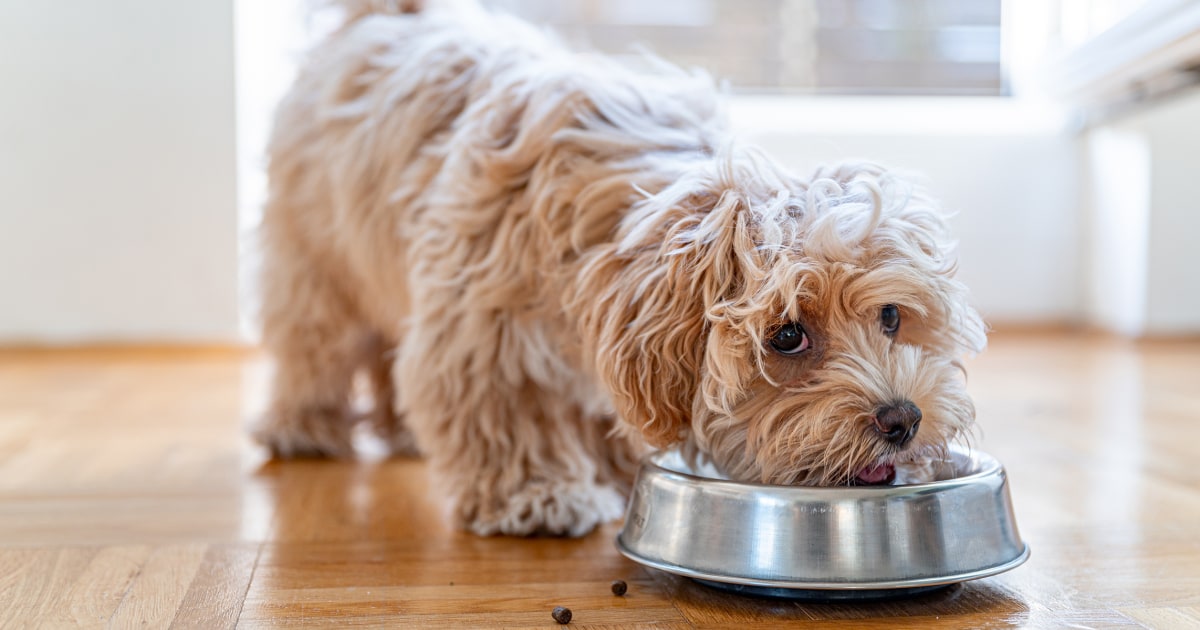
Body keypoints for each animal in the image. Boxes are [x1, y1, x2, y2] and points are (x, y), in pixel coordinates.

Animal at [253, 0, 984, 535]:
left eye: (890, 316)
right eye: (787, 336)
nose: (902, 419)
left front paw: (608, 466)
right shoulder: (481, 326)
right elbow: (503, 406)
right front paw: (537, 493)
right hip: (316, 254)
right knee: (315, 339)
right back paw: (305, 424)